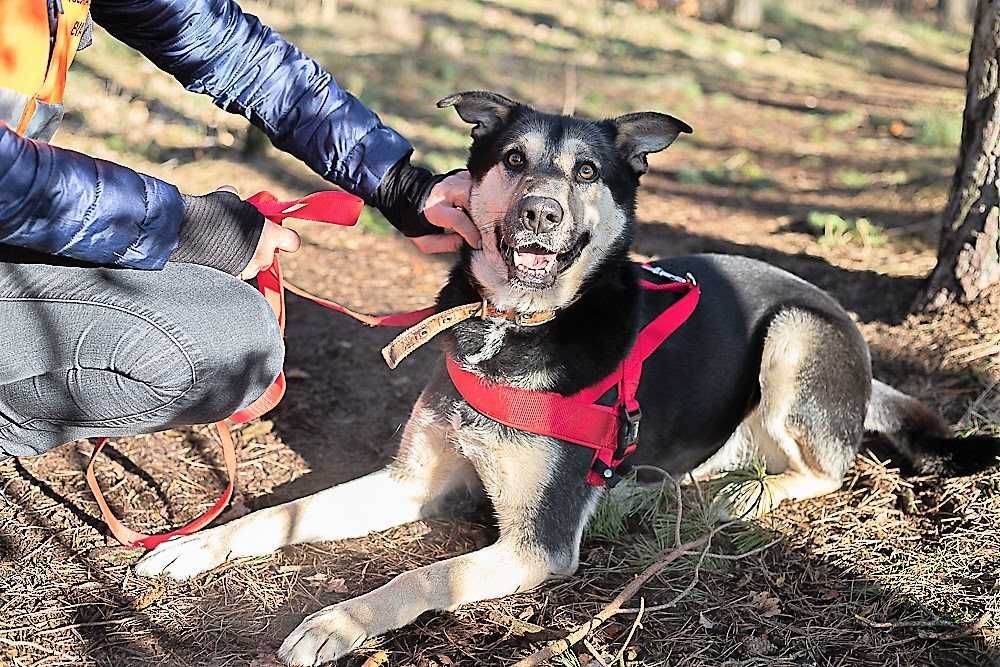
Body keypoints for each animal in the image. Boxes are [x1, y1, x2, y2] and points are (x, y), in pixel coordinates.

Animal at [135, 91, 1000, 664]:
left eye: (586, 172)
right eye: (514, 161)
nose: (541, 214)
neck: (514, 326)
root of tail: (858, 351)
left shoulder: (534, 545)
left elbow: (421, 574)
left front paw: (338, 622)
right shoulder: (408, 482)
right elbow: (283, 514)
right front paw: (198, 546)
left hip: (795, 330)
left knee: (825, 468)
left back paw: (729, 496)